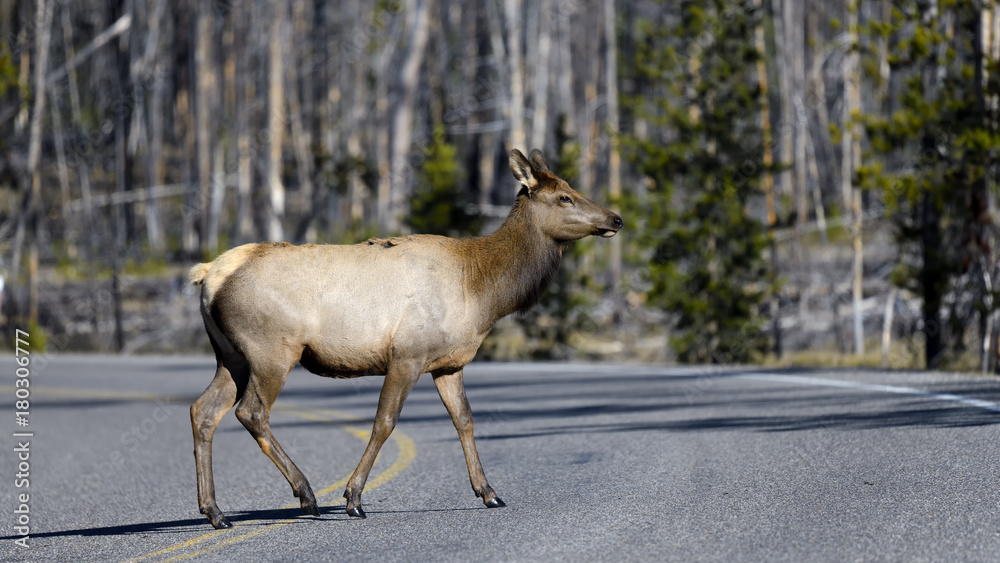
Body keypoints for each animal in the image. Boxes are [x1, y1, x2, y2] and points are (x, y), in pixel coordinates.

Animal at [188, 148, 623, 529]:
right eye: (565, 196)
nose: (616, 218)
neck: (483, 292)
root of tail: (209, 275)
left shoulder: (449, 363)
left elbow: (465, 419)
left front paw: (489, 492)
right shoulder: (407, 355)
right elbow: (385, 421)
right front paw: (353, 498)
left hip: (232, 357)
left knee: (203, 410)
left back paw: (216, 513)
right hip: (272, 351)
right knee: (251, 413)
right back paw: (307, 496)